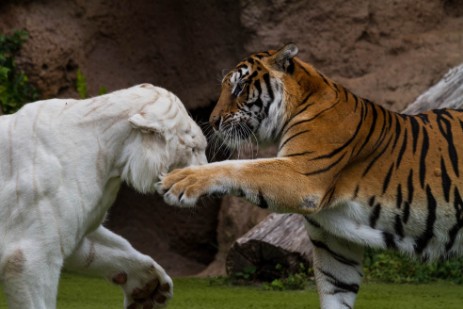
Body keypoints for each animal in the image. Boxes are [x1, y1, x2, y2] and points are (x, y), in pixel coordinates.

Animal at [0, 83, 208, 306]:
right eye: (194, 149)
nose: (205, 184)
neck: (111, 159)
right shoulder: (32, 252)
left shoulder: (78, 229)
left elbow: (116, 247)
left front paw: (150, 289)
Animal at [159, 42, 463, 306]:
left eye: (240, 86)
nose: (213, 121)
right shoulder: (335, 242)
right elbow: (335, 293)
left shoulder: (303, 175)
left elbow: (244, 167)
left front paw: (180, 180)